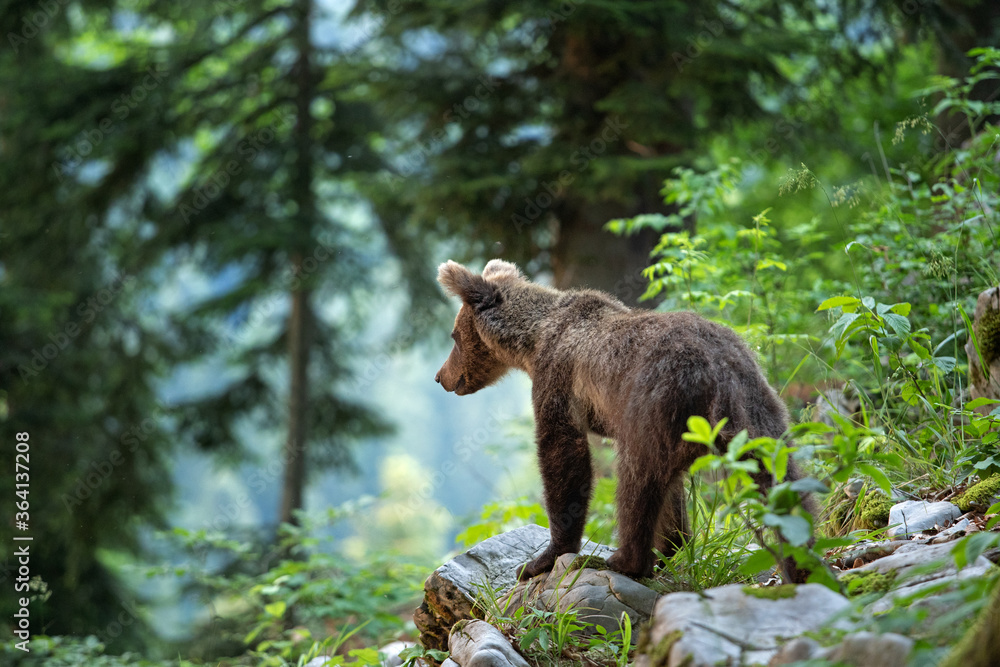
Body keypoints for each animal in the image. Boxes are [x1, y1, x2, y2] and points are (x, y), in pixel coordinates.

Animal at [434, 258, 814, 581]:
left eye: (453, 336)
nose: (441, 377)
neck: (534, 338)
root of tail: (717, 371)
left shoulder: (558, 379)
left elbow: (563, 455)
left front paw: (541, 559)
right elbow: (674, 496)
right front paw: (673, 545)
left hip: (653, 407)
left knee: (636, 481)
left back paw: (619, 559)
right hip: (758, 411)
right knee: (785, 483)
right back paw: (803, 561)